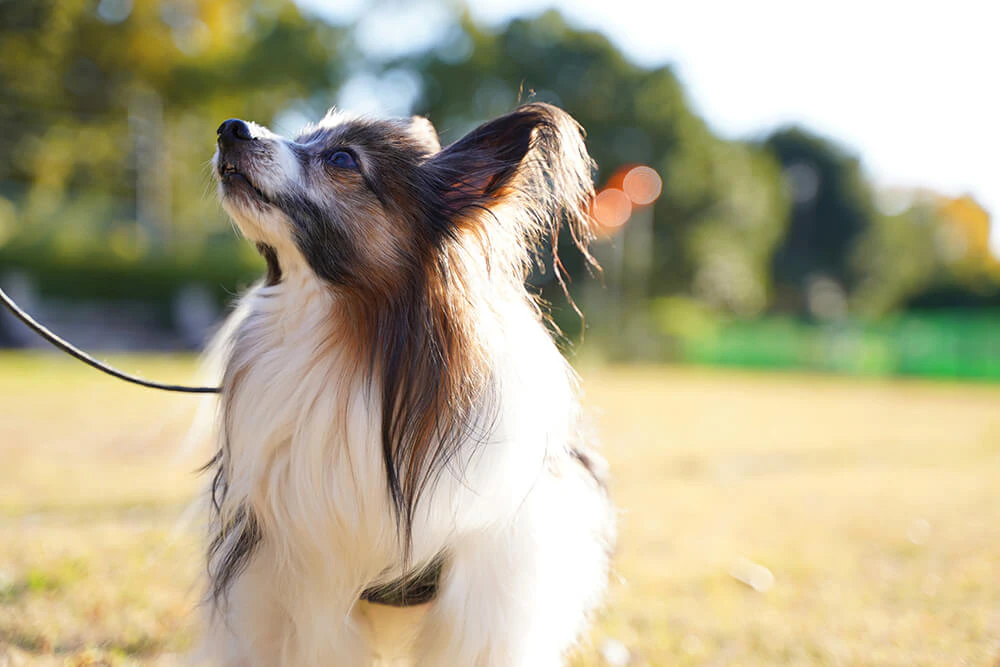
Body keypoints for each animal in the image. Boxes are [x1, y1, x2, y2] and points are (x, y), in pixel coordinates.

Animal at [203, 102, 612, 664]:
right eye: (304, 138)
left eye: (342, 159)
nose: (230, 129)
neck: (342, 347)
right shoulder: (288, 589)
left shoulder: (486, 607)